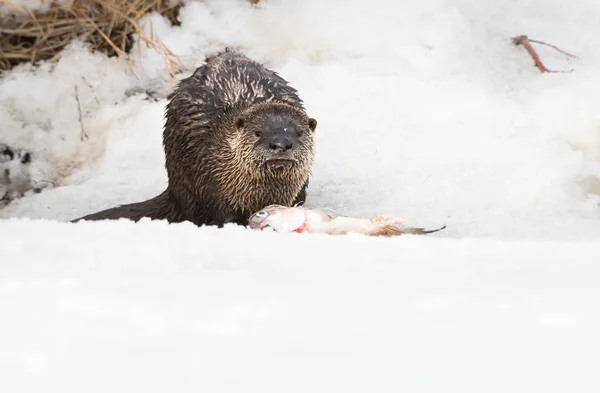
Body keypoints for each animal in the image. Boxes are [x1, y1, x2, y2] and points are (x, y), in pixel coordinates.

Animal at [72, 49, 318, 227]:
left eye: (298, 133)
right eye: (259, 132)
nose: (281, 144)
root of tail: (174, 190)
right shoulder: (211, 183)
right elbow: (223, 214)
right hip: (185, 180)